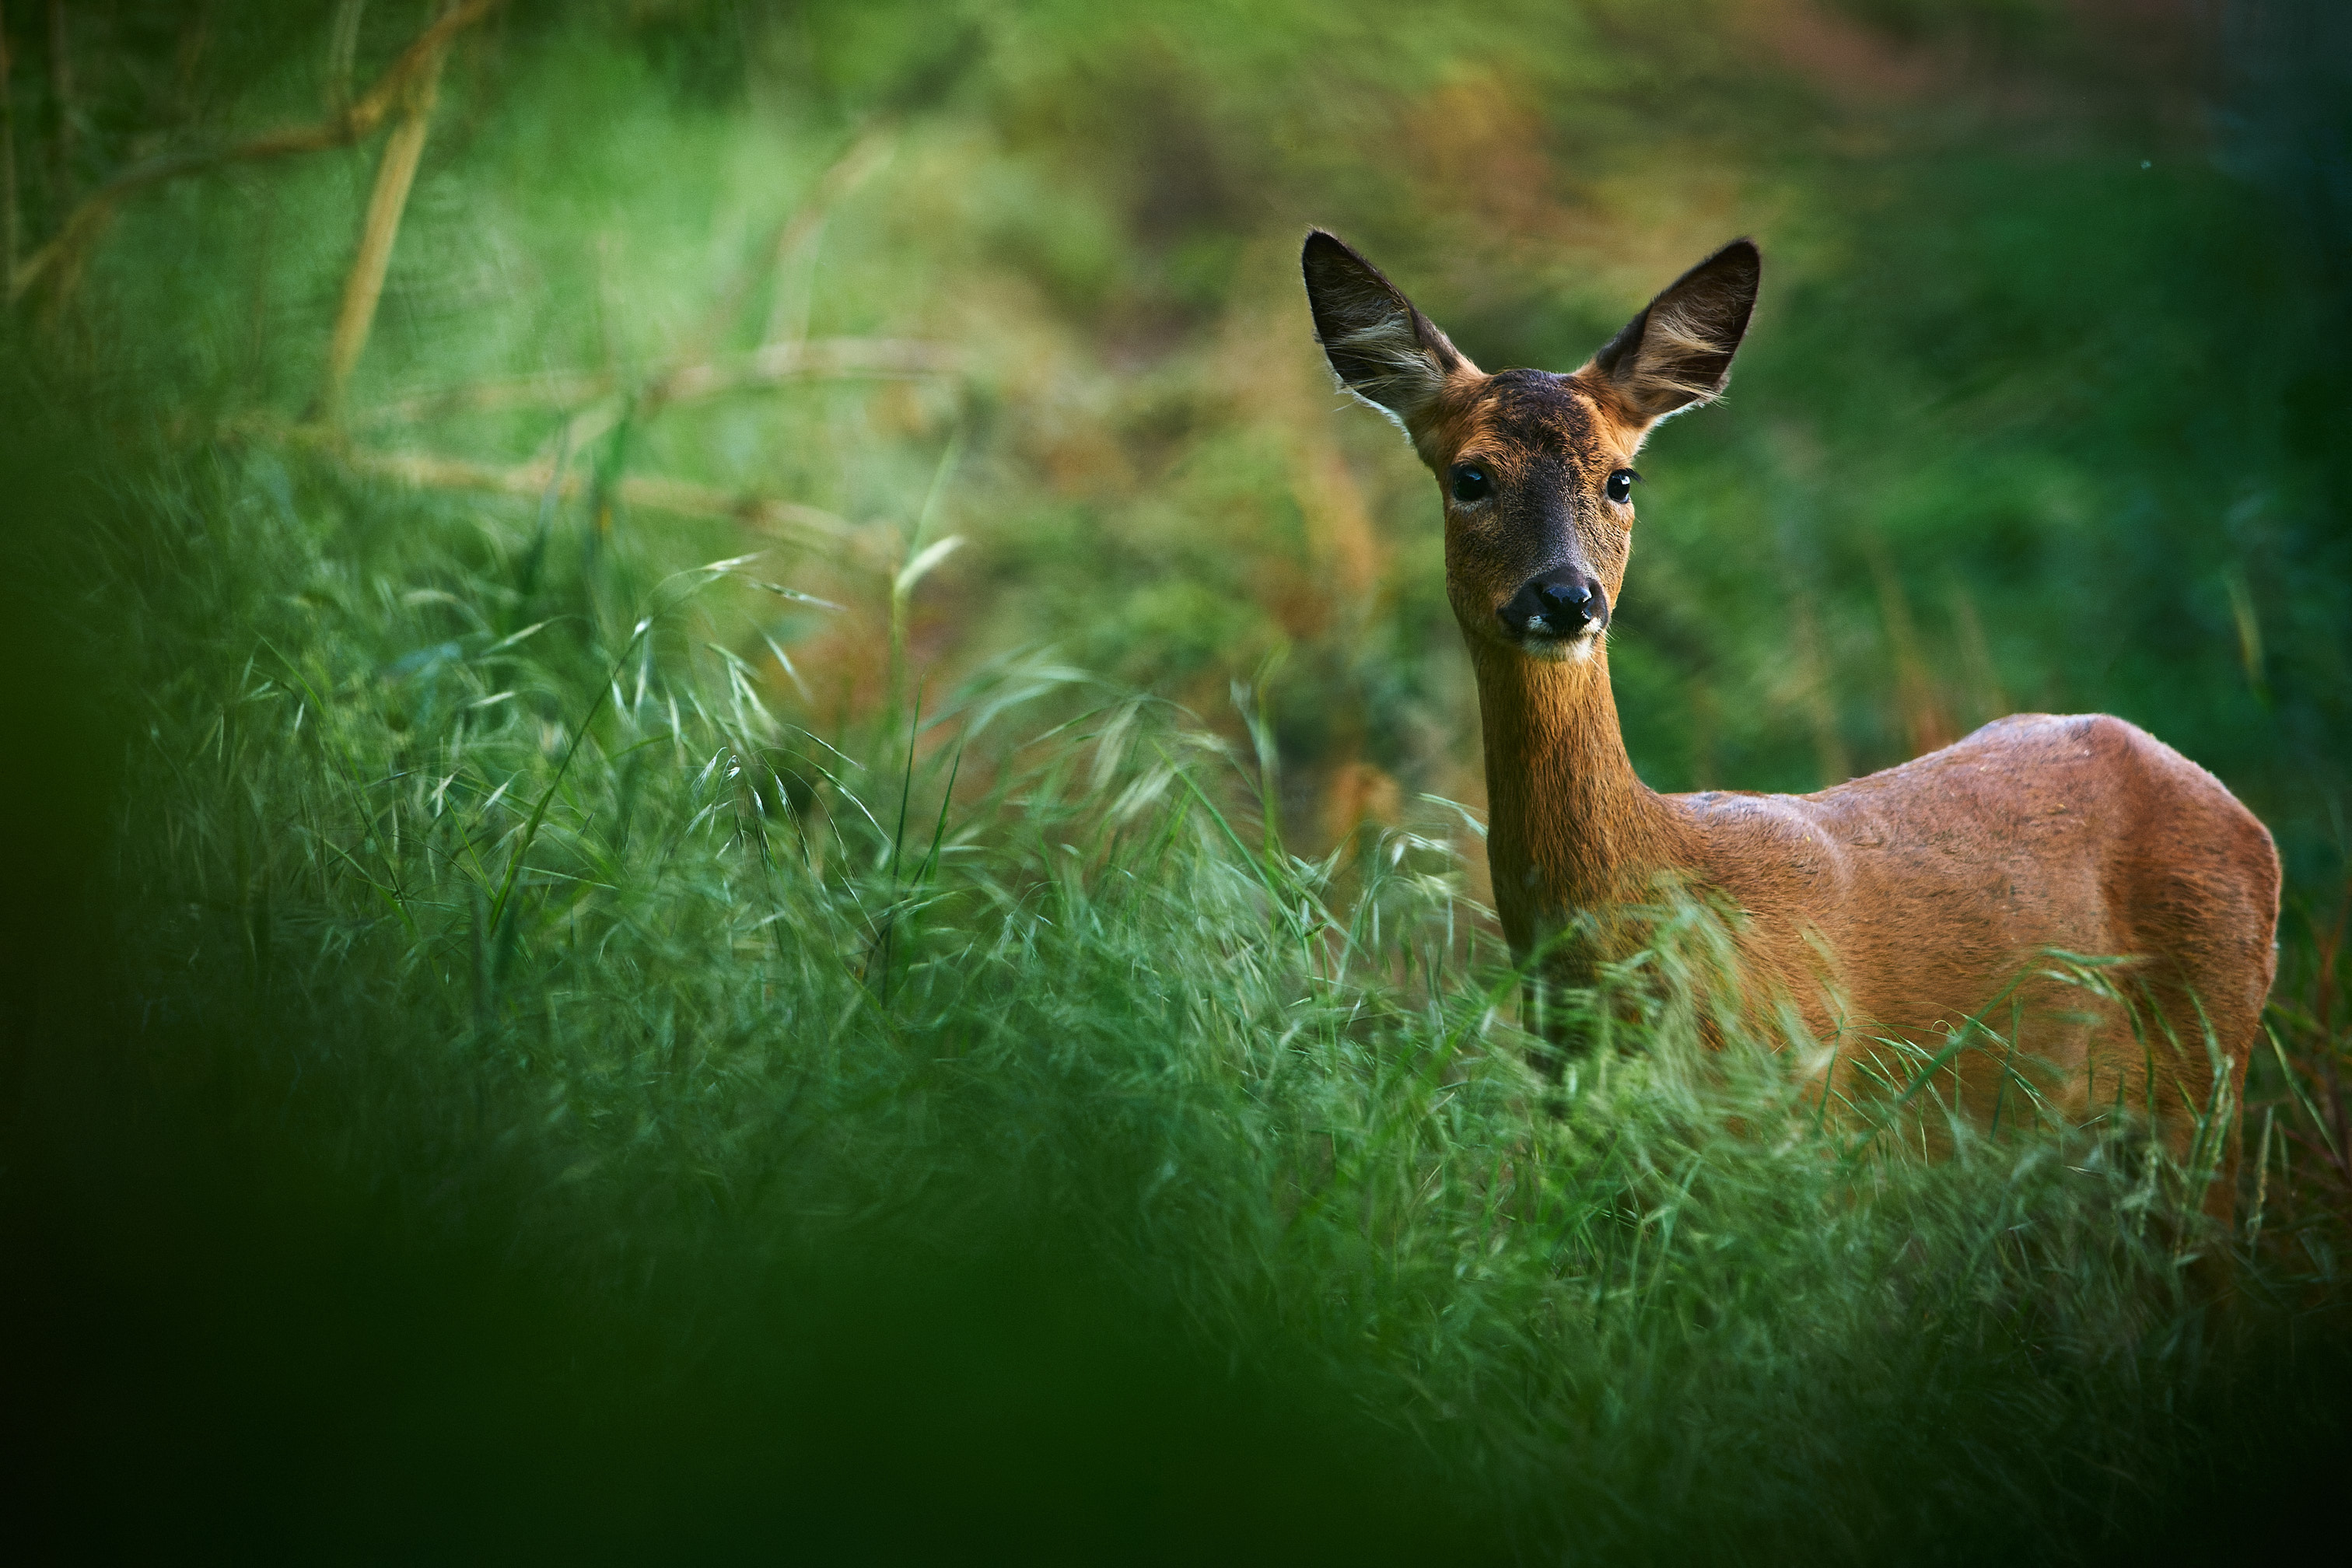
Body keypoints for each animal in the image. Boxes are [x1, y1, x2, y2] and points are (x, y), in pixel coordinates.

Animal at [1301, 228, 2280, 1221]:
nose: (1567, 597)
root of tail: (2230, 806)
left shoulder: (1806, 1131)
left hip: (2207, 1070)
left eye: (1621, 478)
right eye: (1471, 477)